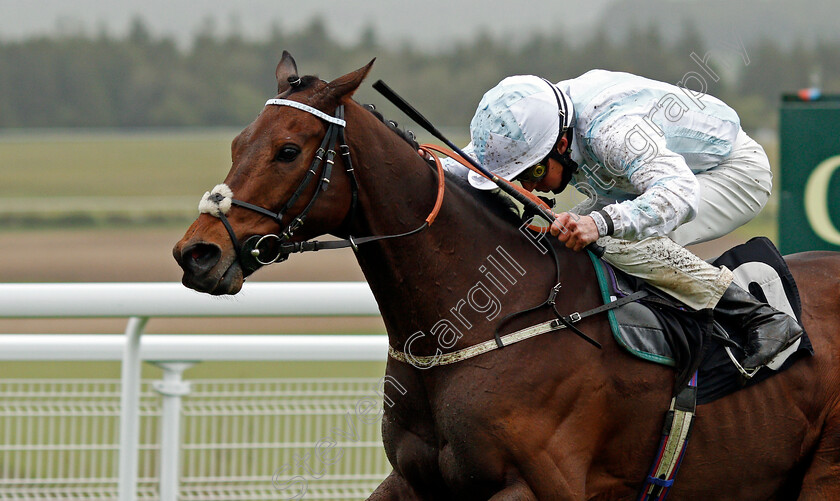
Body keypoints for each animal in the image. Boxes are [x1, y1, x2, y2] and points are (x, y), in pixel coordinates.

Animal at [172, 52, 840, 498]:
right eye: (237, 142)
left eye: (288, 151)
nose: (196, 254)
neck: (473, 324)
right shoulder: (414, 482)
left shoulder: (537, 485)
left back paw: (766, 329)